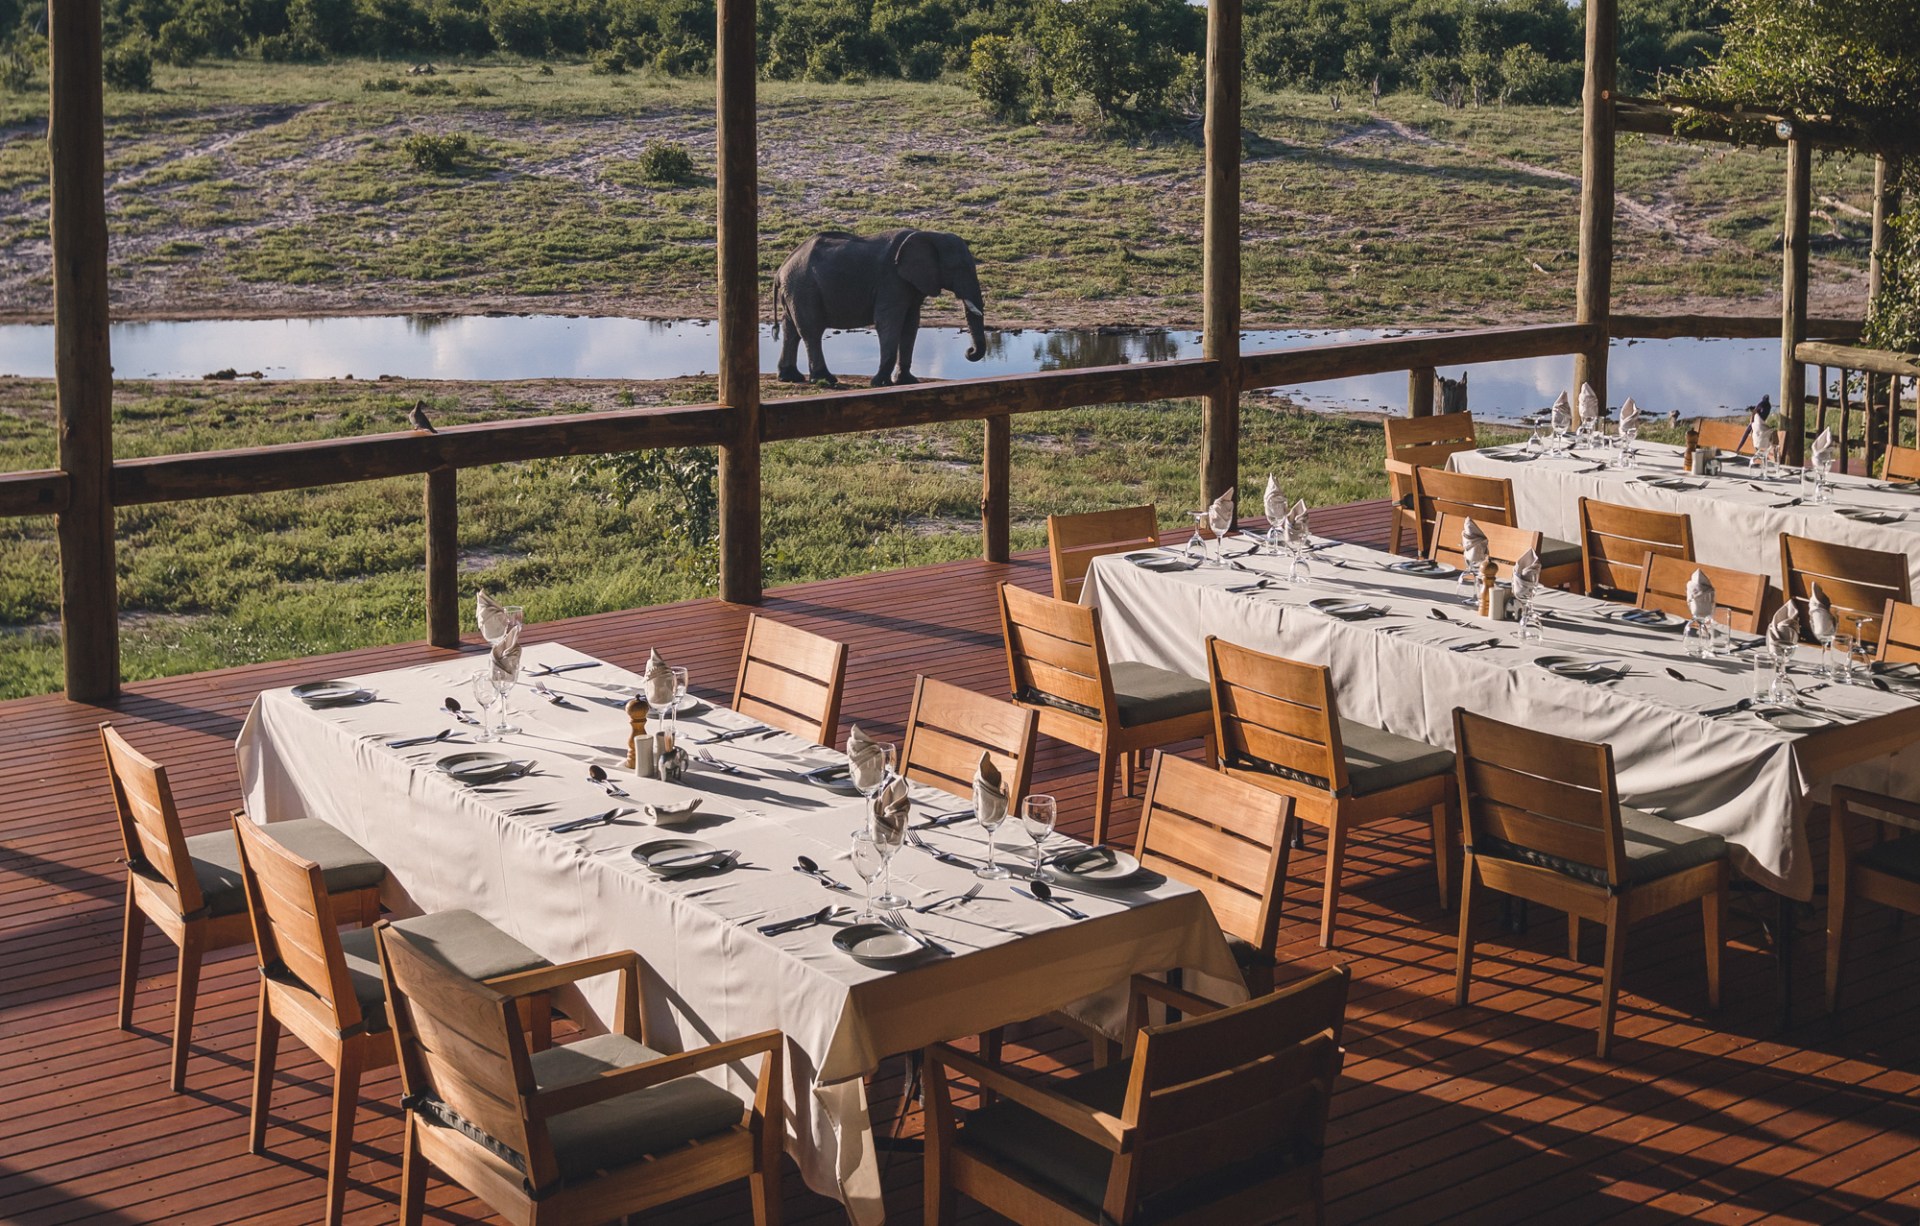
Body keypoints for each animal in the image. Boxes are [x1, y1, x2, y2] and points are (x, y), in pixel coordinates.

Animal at [771, 228, 990, 385]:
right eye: (958, 268)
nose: (969, 351)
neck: (931, 235)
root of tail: (781, 268)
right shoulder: (892, 280)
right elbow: (889, 321)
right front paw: (880, 383)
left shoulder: (910, 284)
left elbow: (911, 324)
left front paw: (907, 381)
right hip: (804, 288)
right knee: (811, 330)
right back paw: (826, 380)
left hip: (795, 290)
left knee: (791, 329)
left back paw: (790, 377)